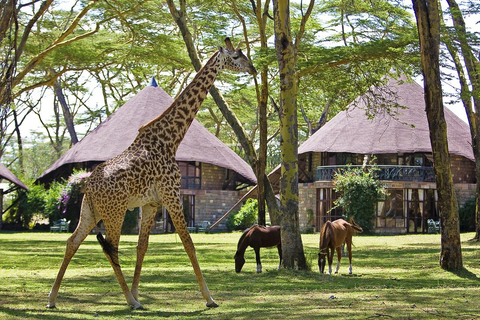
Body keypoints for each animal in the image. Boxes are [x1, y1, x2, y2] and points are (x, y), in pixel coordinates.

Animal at [47, 37, 256, 310]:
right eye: (237, 55)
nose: (253, 69)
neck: (171, 139)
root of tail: (88, 186)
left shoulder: (151, 203)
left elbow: (142, 247)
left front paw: (137, 292)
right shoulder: (171, 194)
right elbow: (188, 243)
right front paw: (209, 298)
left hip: (90, 211)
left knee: (73, 241)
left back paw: (52, 299)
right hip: (115, 212)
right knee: (111, 248)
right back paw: (129, 301)